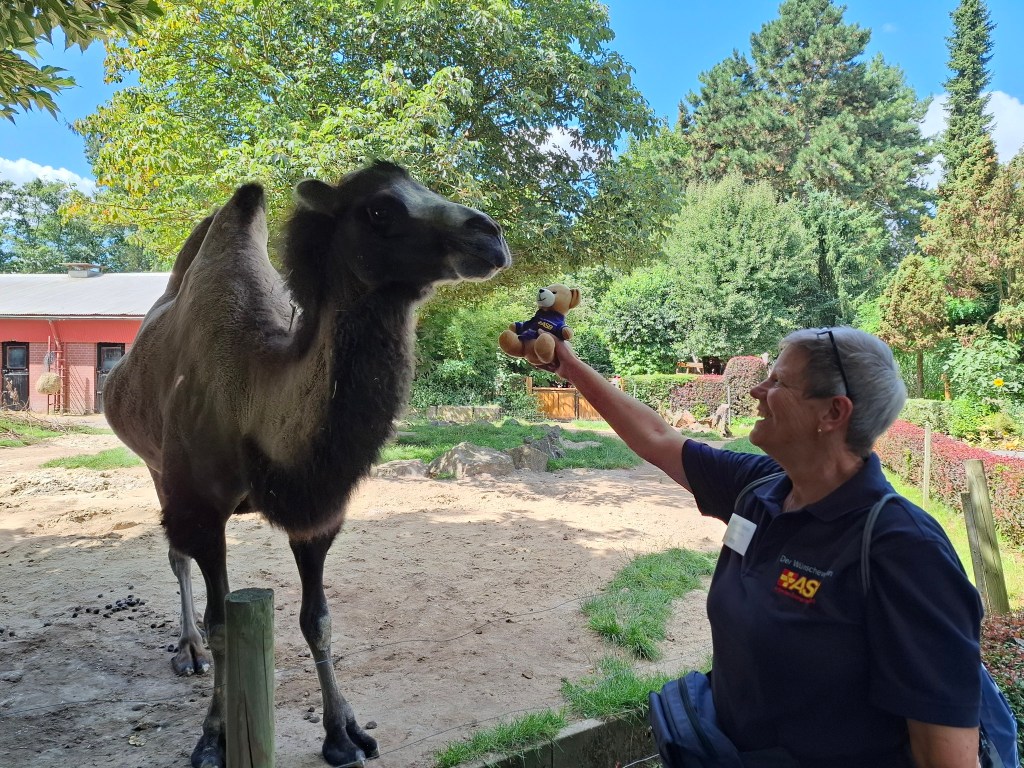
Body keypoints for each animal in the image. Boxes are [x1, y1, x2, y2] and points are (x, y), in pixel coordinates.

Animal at [101, 159, 509, 765]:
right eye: (380, 208)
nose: (489, 236)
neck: (253, 397)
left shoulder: (317, 512)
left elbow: (317, 620)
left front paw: (344, 734)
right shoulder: (203, 509)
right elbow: (222, 624)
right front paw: (213, 738)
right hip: (156, 467)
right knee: (177, 560)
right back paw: (188, 649)